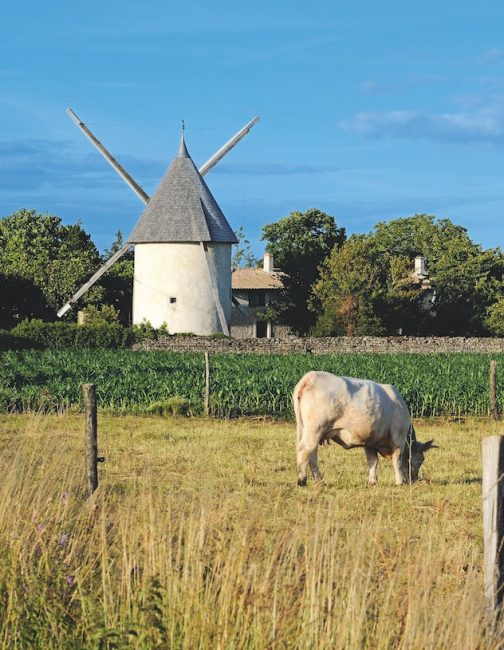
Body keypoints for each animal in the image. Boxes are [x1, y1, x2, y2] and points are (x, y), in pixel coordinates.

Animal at [294, 372, 436, 484]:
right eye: (421, 460)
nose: (415, 480)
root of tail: (310, 376)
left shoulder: (370, 441)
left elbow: (372, 461)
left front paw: (372, 481)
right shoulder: (398, 438)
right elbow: (397, 460)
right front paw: (399, 481)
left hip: (309, 430)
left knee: (312, 454)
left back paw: (319, 481)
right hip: (315, 429)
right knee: (305, 449)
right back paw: (302, 479)